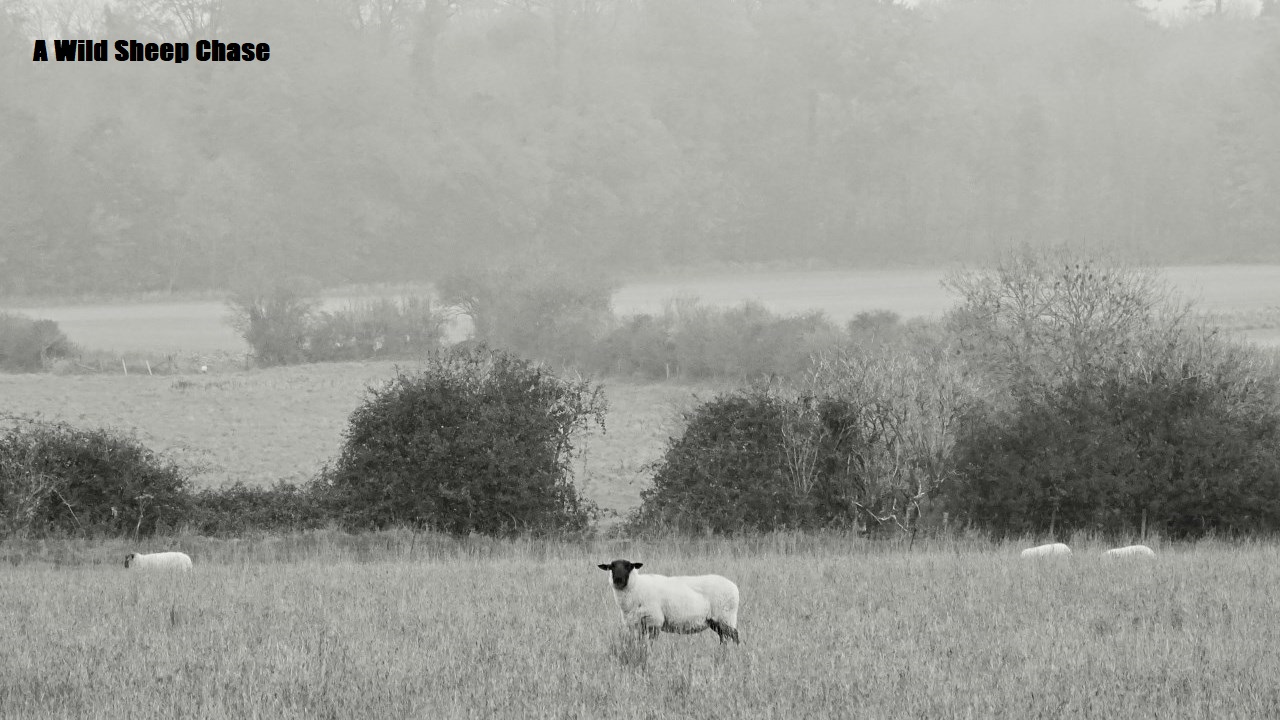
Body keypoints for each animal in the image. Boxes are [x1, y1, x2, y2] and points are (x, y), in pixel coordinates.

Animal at [596, 558, 742, 640]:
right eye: (611, 567)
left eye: (628, 566)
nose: (618, 580)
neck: (637, 587)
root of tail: (734, 586)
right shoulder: (636, 625)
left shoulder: (654, 622)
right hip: (717, 621)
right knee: (724, 638)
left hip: (725, 617)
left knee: (735, 636)